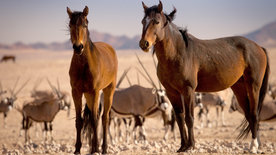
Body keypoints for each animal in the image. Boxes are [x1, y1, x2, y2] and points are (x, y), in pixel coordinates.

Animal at [67, 5, 118, 154]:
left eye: (85, 24)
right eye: (70, 25)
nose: (78, 47)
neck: (84, 65)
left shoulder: (95, 92)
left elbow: (95, 120)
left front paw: (96, 149)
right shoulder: (76, 92)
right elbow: (79, 120)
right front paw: (77, 149)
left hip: (108, 90)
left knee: (104, 118)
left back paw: (104, 148)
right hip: (88, 95)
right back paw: (94, 147)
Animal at [139, 1, 268, 153]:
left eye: (157, 21)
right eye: (143, 21)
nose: (144, 44)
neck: (178, 53)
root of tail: (258, 47)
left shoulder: (188, 90)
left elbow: (189, 118)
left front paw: (191, 146)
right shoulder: (172, 92)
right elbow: (179, 118)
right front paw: (182, 146)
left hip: (253, 86)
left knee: (254, 114)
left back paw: (254, 147)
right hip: (239, 88)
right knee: (248, 115)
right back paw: (254, 145)